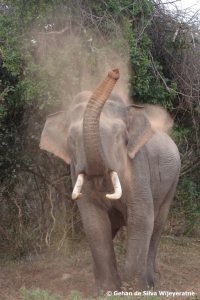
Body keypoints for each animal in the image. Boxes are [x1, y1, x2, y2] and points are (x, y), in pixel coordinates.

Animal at [39, 69, 180, 292]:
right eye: (71, 140)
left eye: (119, 136)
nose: (114, 72)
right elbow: (94, 223)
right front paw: (107, 290)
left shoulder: (137, 166)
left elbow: (141, 218)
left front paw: (132, 288)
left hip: (172, 181)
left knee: (157, 225)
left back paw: (150, 282)